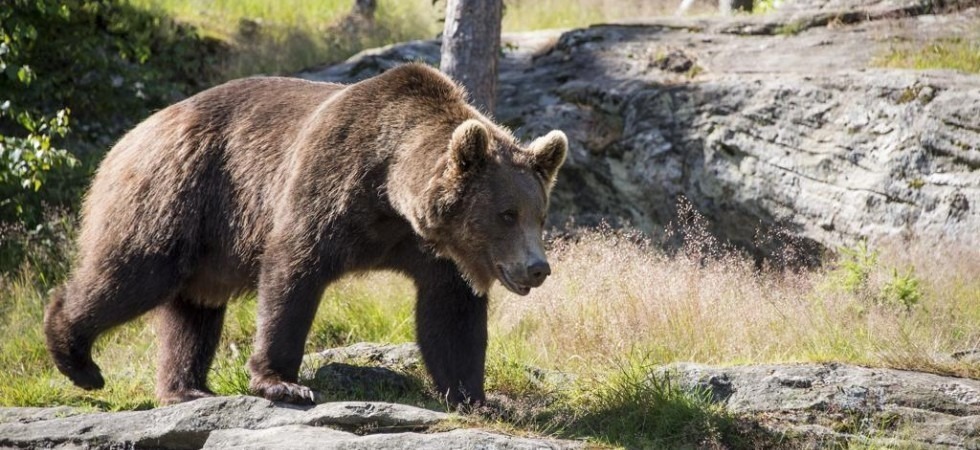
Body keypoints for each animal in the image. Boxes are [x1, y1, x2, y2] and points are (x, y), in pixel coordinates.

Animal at [43, 63, 567, 406]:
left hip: (206, 243)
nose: (537, 269)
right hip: (176, 195)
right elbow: (293, 273)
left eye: (540, 214)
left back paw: (186, 387)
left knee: (194, 309)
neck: (390, 193)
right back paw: (77, 358)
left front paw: (476, 397)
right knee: (134, 273)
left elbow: (451, 316)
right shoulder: (328, 186)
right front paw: (283, 382)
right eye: (506, 213)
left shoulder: (433, 250)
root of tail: (132, 134)